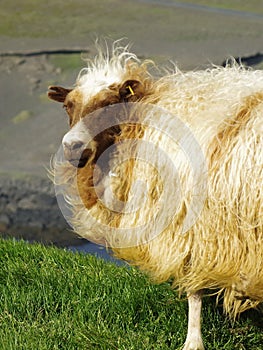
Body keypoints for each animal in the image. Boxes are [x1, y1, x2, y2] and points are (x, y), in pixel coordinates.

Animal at [48, 44, 263, 350]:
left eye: (109, 104)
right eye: (68, 106)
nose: (71, 146)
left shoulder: (187, 228)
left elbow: (194, 290)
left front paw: (193, 341)